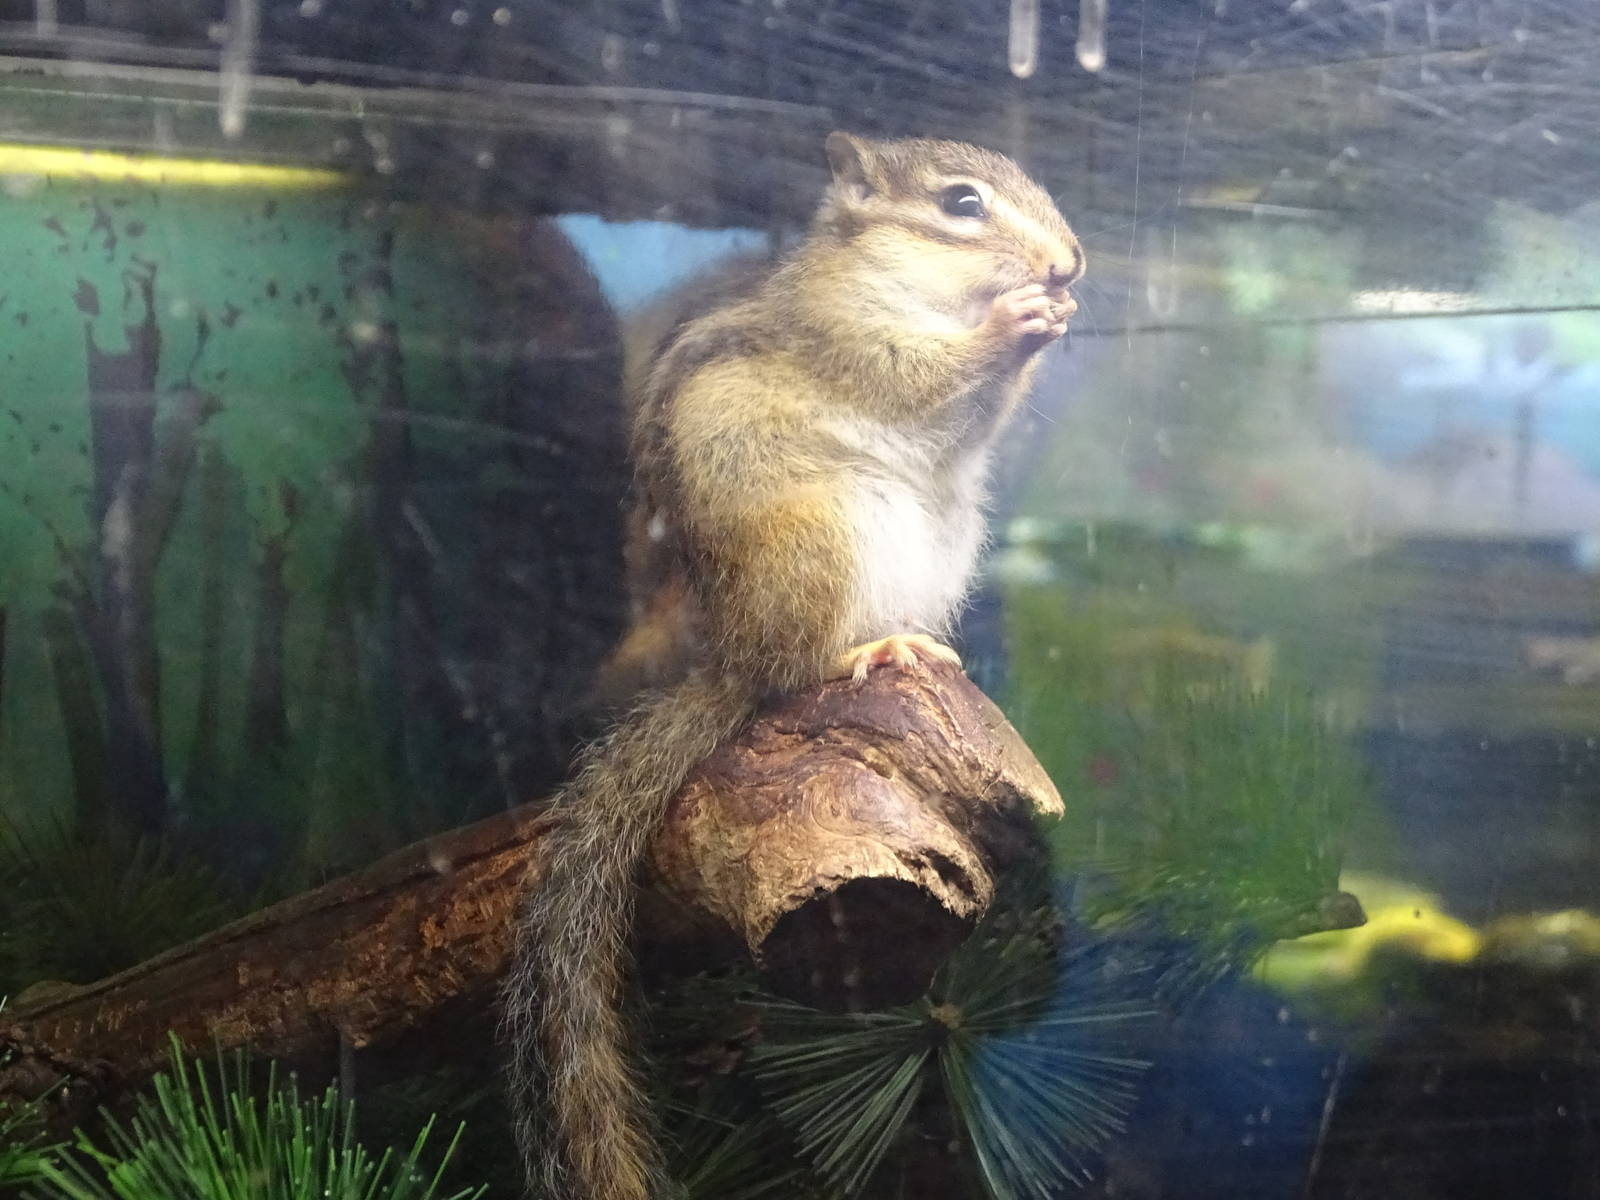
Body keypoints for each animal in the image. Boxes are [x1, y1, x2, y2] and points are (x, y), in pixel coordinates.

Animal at [501, 131, 1084, 1200]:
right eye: (962, 203)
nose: (1069, 266)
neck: (908, 281)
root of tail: (734, 650)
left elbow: (978, 419)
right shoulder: (848, 337)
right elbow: (917, 382)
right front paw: (1014, 324)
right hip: (821, 544)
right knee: (798, 668)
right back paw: (872, 647)